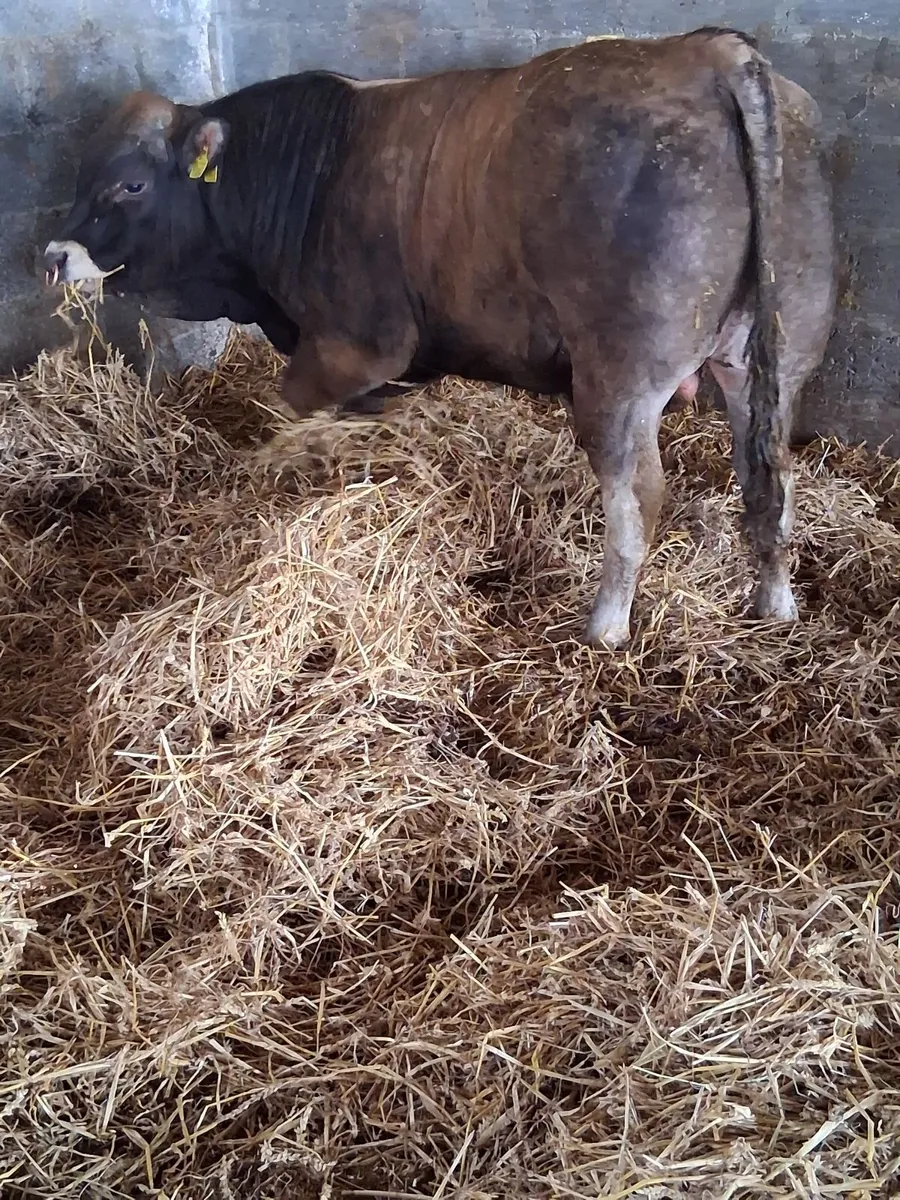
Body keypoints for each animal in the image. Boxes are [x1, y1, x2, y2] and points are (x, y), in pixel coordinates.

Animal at [42, 27, 836, 648]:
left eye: (131, 184)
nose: (54, 255)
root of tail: (709, 51)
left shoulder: (359, 341)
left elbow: (297, 406)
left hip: (619, 376)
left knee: (638, 492)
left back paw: (606, 624)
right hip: (773, 354)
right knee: (771, 475)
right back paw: (774, 602)